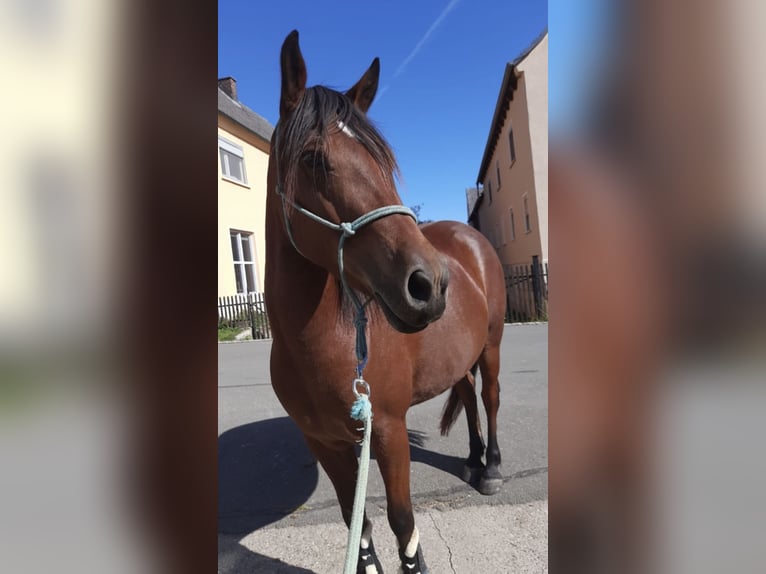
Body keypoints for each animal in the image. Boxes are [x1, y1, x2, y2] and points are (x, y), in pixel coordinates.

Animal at [266, 30, 510, 574]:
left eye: (384, 163)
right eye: (313, 159)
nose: (429, 284)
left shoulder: (390, 434)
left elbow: (403, 525)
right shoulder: (326, 443)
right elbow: (357, 527)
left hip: (491, 348)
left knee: (488, 398)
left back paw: (491, 468)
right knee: (467, 397)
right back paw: (472, 458)